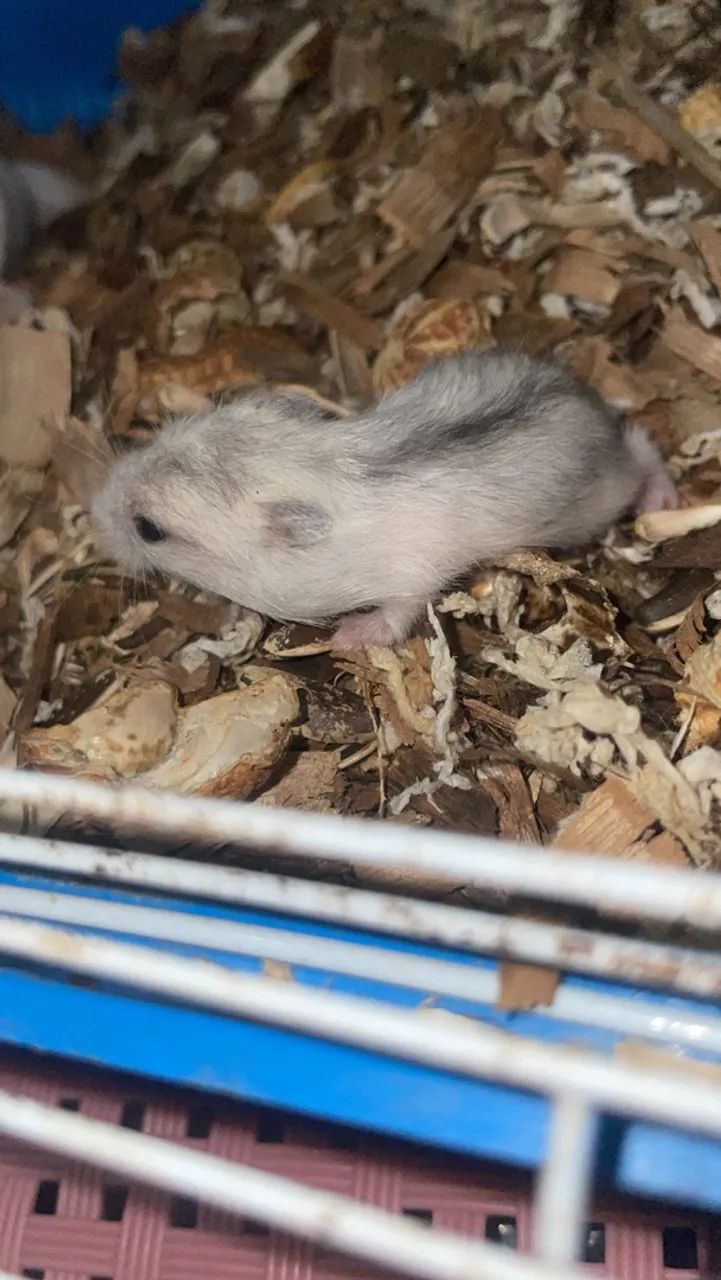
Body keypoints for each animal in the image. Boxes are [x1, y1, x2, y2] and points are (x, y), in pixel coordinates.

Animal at [92, 349, 678, 649]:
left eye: (148, 529)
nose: (94, 507)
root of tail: (593, 405)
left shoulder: (412, 577)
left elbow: (399, 611)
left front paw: (348, 638)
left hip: (596, 504)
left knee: (642, 447)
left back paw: (662, 502)